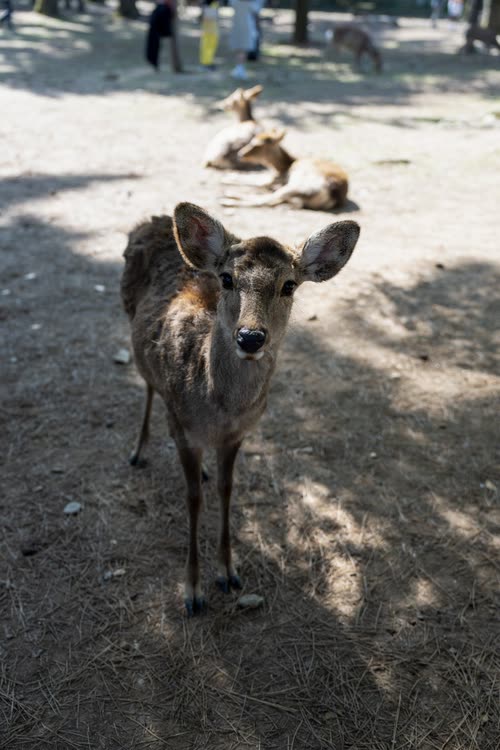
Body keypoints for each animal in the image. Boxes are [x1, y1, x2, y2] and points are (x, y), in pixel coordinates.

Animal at [121, 202, 360, 615]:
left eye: (289, 285)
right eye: (227, 279)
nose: (250, 337)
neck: (219, 409)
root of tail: (153, 219)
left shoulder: (238, 435)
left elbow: (227, 490)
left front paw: (229, 573)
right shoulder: (183, 429)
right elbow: (193, 499)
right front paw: (192, 591)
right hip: (130, 324)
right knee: (150, 386)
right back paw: (138, 450)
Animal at [221, 129, 350, 210]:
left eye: (257, 144)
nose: (240, 154)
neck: (284, 165)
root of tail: (334, 192)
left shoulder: (275, 178)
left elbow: (255, 181)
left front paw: (227, 178)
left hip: (299, 185)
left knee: (268, 199)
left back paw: (228, 200)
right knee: (284, 200)